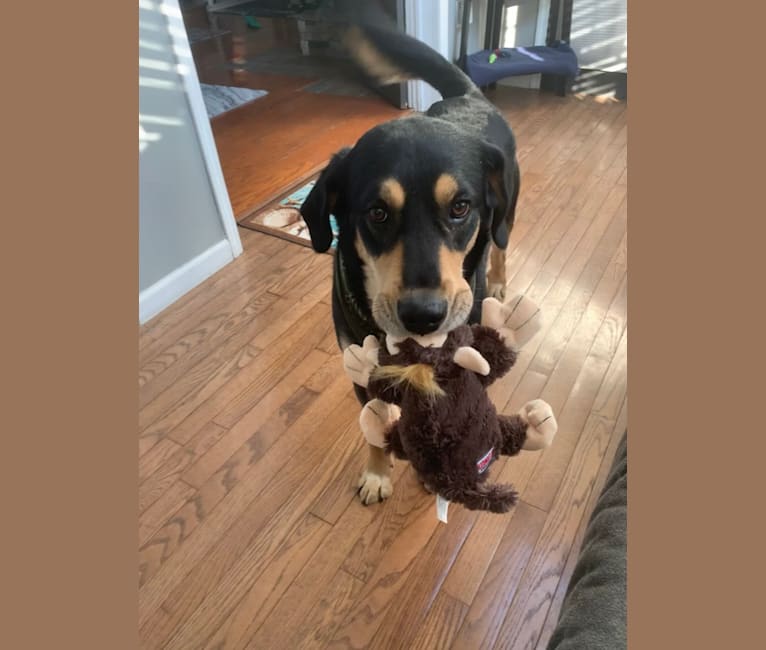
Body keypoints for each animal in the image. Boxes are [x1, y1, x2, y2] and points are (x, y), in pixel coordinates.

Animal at [300, 22, 520, 504]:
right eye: (377, 213)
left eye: (460, 207)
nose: (423, 316)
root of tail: (469, 95)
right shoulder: (360, 367)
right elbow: (375, 424)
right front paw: (378, 473)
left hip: (508, 206)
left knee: (501, 241)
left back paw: (497, 279)